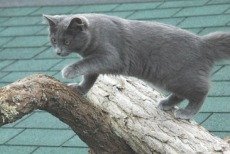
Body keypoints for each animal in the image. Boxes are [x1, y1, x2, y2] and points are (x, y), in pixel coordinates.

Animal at [43, 13, 230, 119]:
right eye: (54, 40)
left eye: (67, 41)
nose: (58, 52)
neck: (95, 32)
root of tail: (204, 43)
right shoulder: (95, 63)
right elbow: (89, 77)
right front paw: (80, 88)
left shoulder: (110, 56)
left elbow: (86, 64)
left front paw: (68, 71)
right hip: (170, 79)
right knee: (182, 93)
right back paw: (166, 103)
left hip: (180, 76)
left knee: (201, 91)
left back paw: (187, 113)